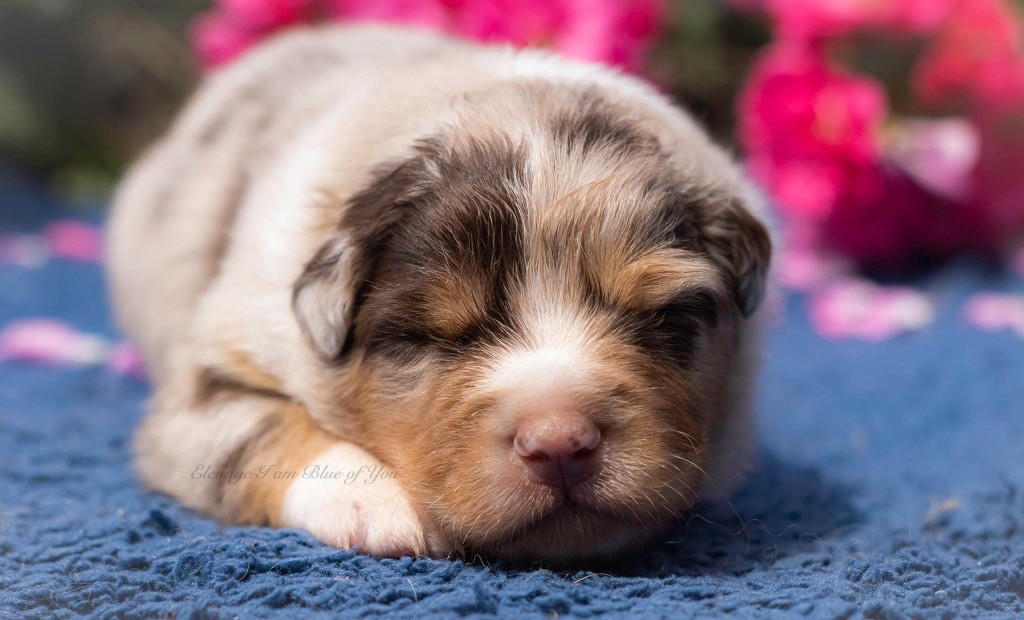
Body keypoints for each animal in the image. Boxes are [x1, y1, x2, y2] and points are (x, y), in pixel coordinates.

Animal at [108, 26, 770, 561]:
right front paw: (374, 505)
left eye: (658, 315)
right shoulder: (204, 388)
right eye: (434, 336)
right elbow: (265, 429)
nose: (559, 443)